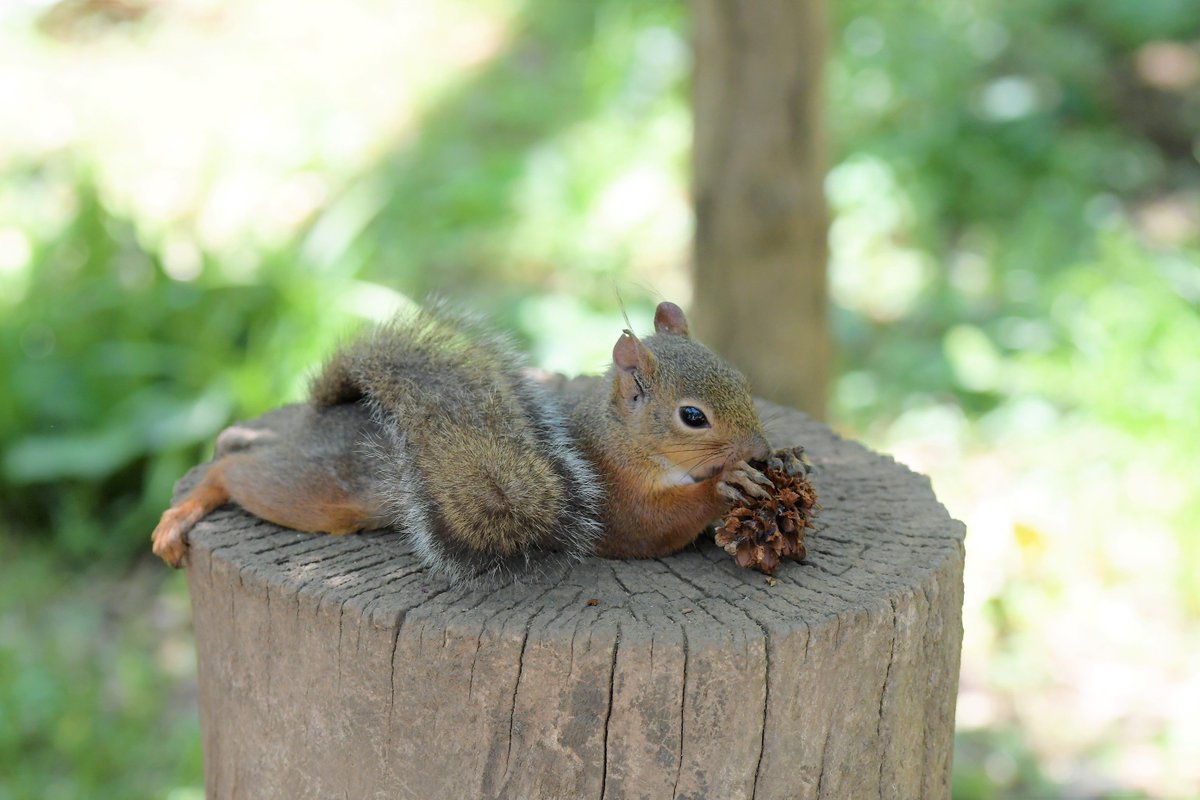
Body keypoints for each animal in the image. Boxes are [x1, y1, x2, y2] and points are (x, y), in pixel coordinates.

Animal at [151, 300, 772, 583]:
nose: (761, 452)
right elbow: (658, 526)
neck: (628, 441)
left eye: (743, 380)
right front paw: (726, 486)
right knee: (235, 473)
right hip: (312, 490)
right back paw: (180, 516)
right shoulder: (616, 499)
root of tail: (323, 420)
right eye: (692, 416)